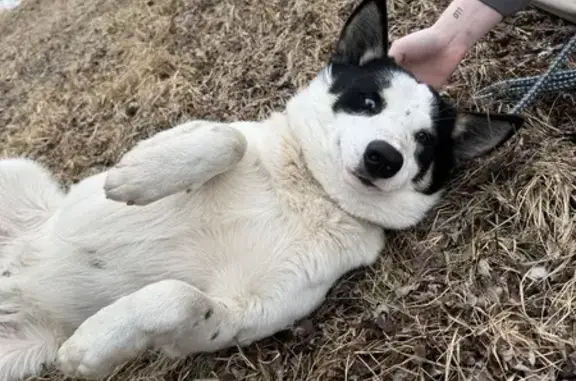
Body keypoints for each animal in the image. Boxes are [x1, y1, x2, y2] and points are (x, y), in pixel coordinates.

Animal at [0, 1, 520, 378]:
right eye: (369, 102)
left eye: (424, 143)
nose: (384, 157)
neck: (313, 191)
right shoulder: (197, 131)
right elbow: (226, 138)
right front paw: (136, 177)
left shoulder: (242, 315)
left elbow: (182, 298)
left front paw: (95, 344)